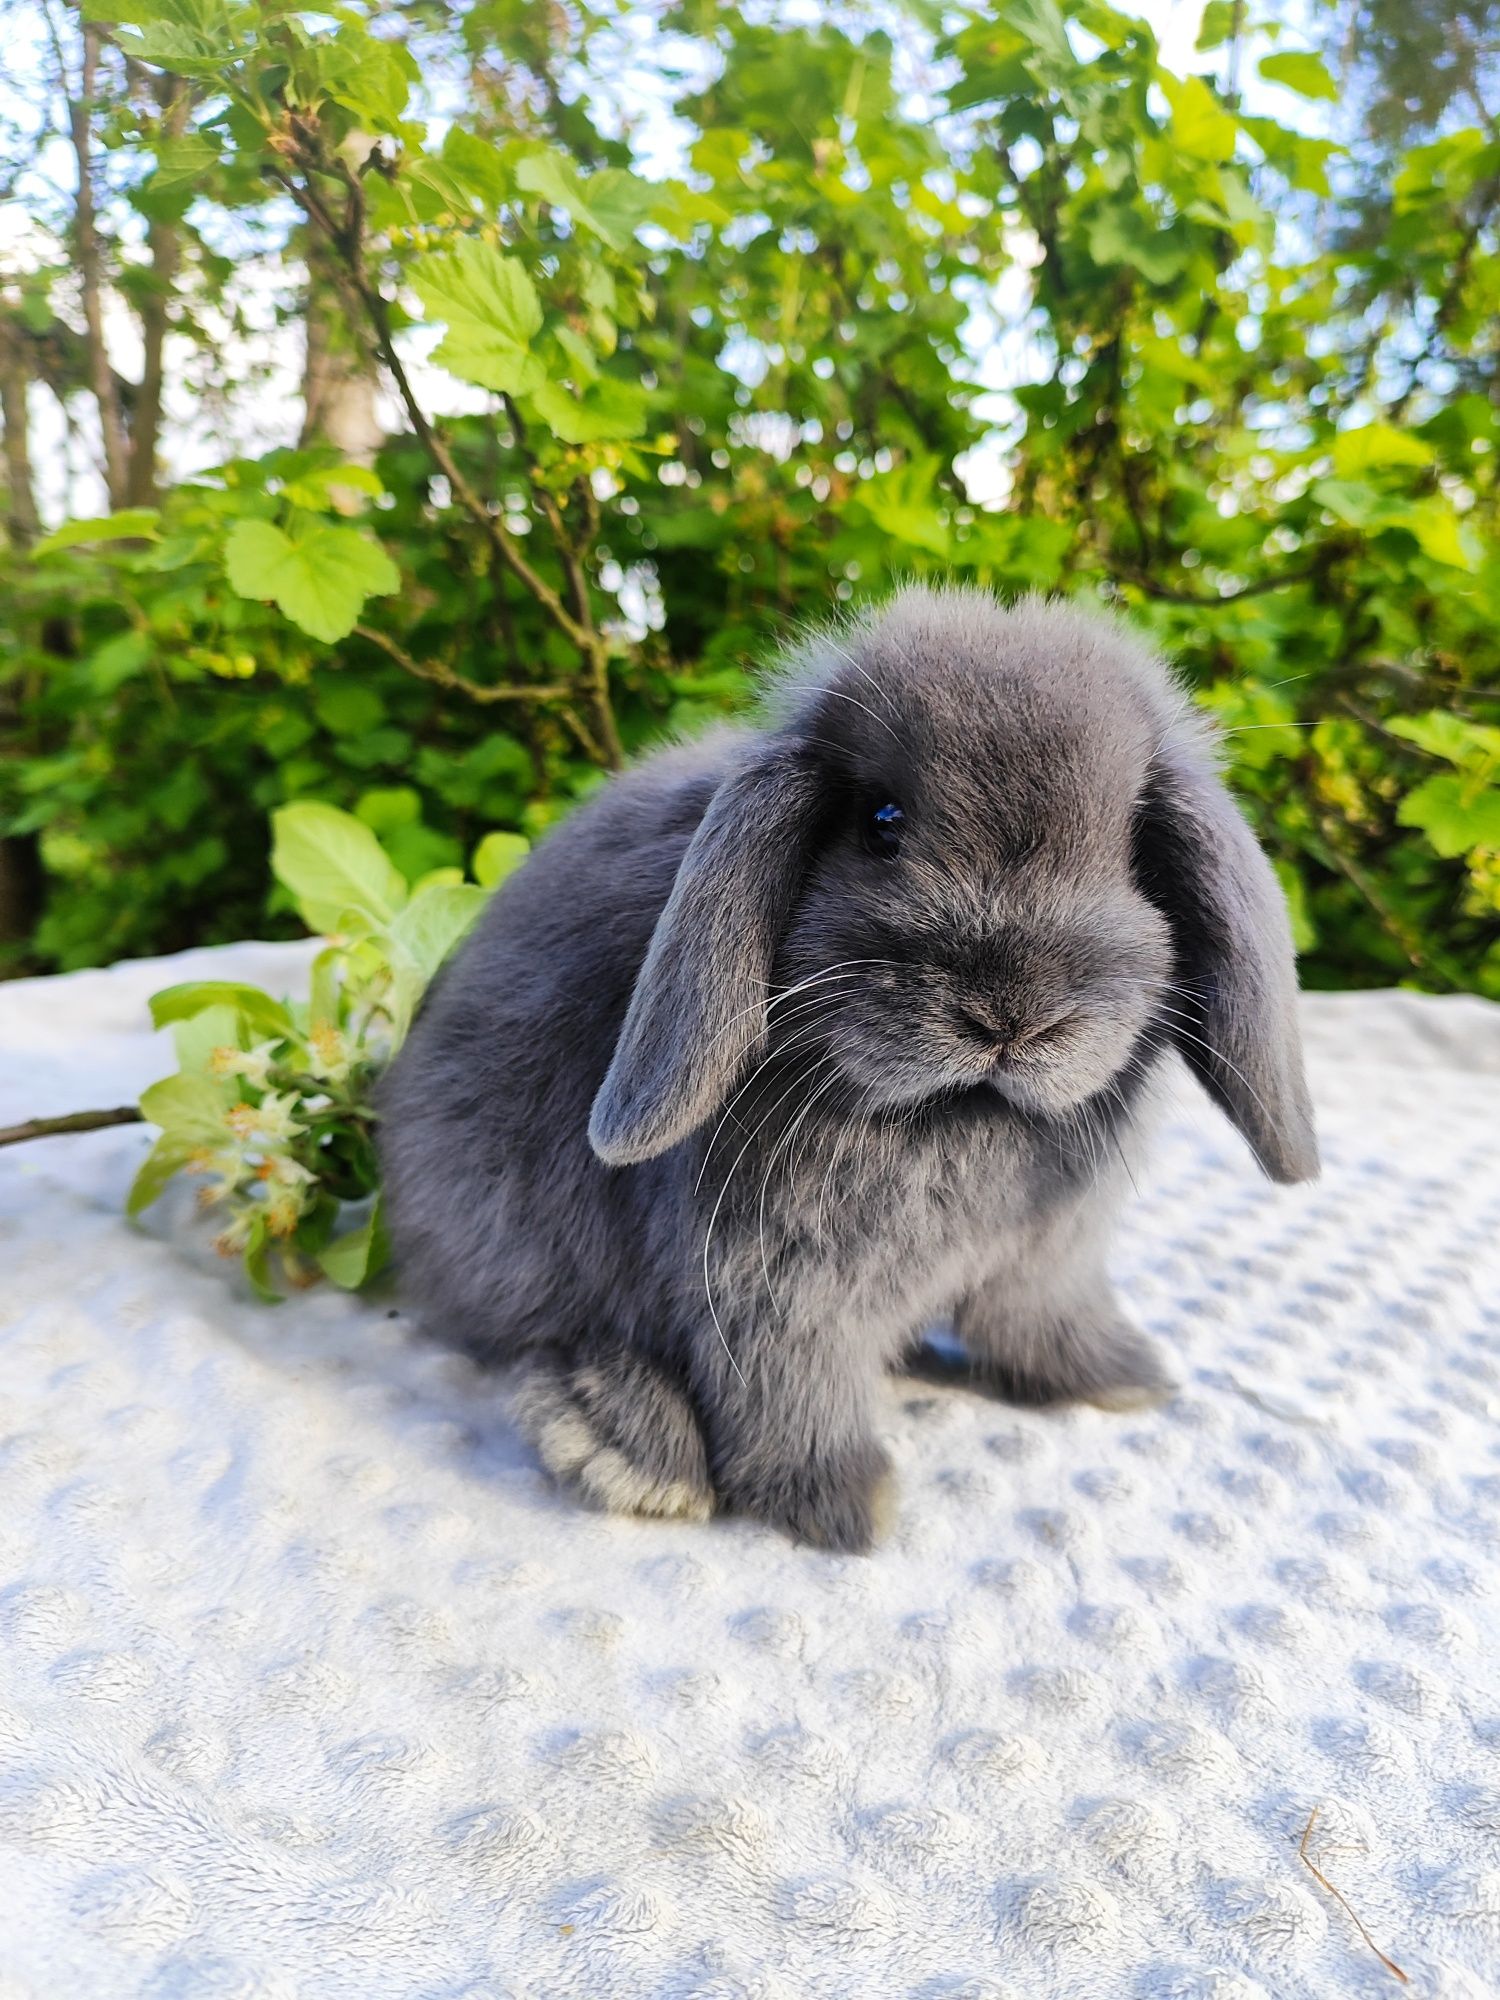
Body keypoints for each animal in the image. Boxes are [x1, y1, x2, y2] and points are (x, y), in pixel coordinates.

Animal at [382, 584, 1320, 1552]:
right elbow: (794, 1383)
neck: (960, 1113)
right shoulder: (775, 1289)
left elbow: (1041, 1320)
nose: (1009, 1014)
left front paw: (1124, 1377)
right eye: (882, 825)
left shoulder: (1046, 1261)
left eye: (1134, 848)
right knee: (548, 1339)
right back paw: (634, 1452)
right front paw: (841, 1504)